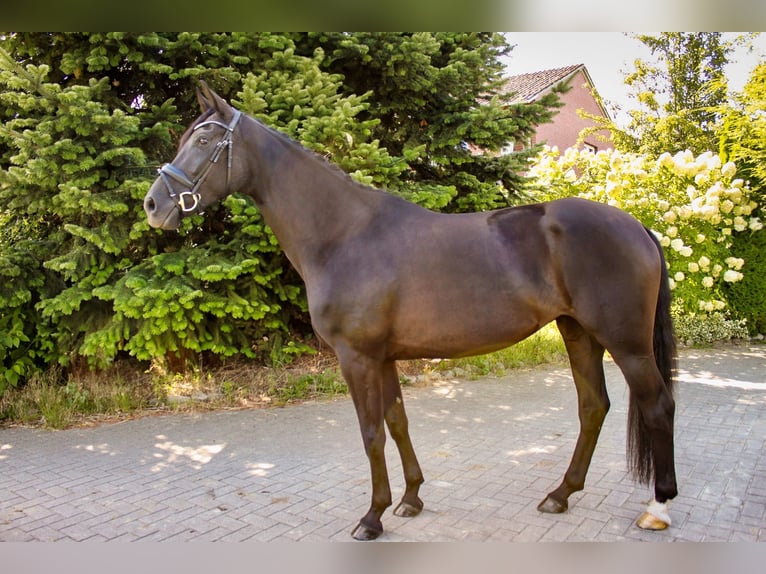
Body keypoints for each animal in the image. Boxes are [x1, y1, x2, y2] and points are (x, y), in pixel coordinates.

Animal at [142, 83, 680, 544]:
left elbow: (371, 433)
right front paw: (412, 499)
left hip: (626, 343)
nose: (152, 205)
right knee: (593, 407)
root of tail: (638, 227)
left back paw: (658, 507)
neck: (345, 235)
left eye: (205, 138)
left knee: (658, 405)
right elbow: (397, 422)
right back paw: (560, 494)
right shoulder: (383, 358)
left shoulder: (357, 357)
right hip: (578, 332)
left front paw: (372, 517)